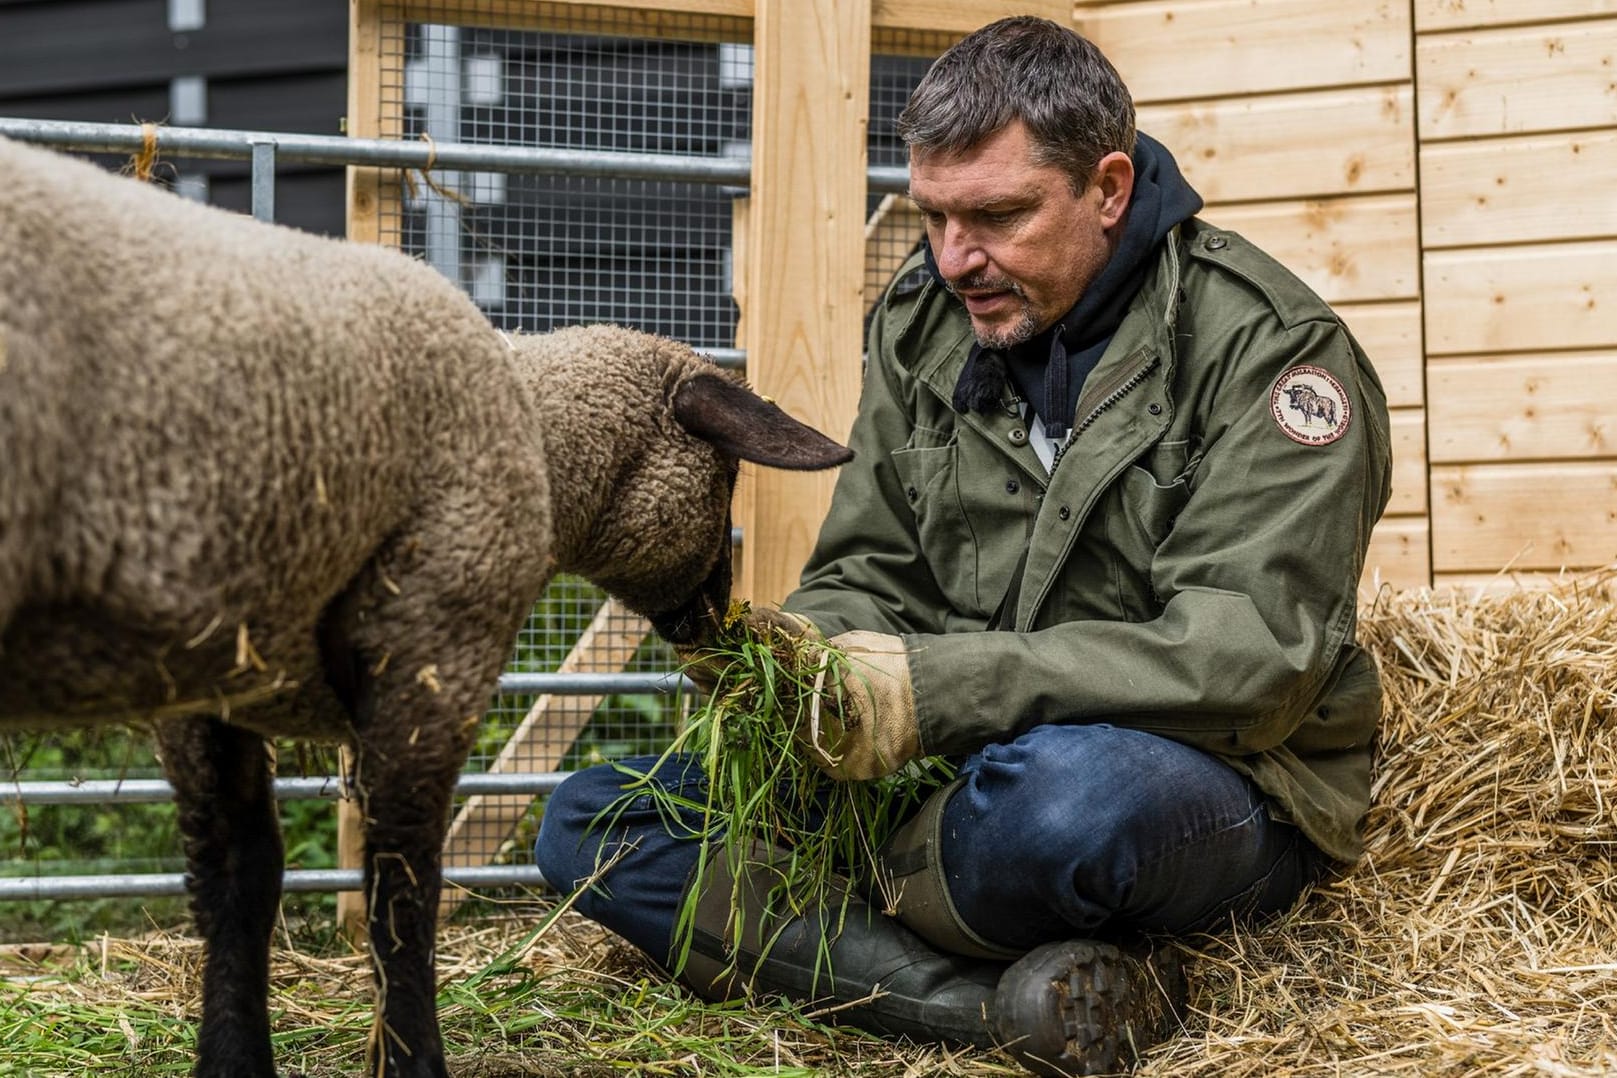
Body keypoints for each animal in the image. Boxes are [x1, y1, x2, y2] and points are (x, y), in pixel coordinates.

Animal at [0, 134, 860, 1078]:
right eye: (726, 479)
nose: (720, 626)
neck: (539, 438)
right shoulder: (435, 642)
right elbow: (399, 891)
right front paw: (411, 1058)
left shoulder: (211, 682)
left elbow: (237, 881)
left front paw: (234, 1059)